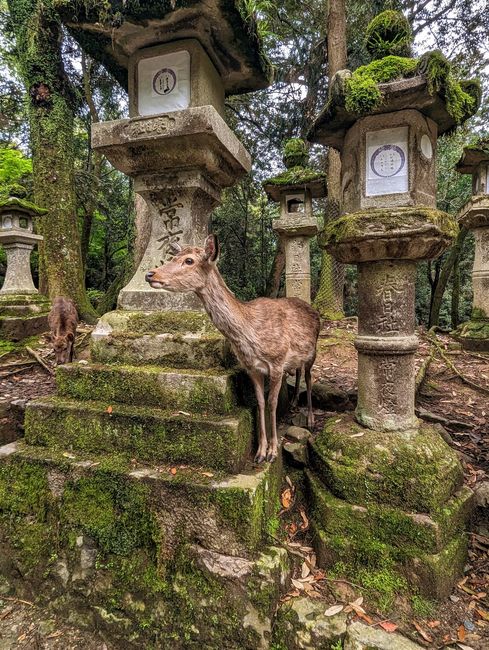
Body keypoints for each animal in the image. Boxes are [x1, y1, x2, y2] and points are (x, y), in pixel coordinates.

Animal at [145, 233, 320, 460]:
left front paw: (273, 451)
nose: (150, 274)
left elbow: (272, 403)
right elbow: (260, 403)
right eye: (173, 257)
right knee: (298, 371)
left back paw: (310, 419)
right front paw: (260, 451)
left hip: (314, 351)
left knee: (309, 377)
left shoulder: (277, 362)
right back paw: (292, 404)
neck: (251, 336)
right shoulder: (251, 367)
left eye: (189, 260)